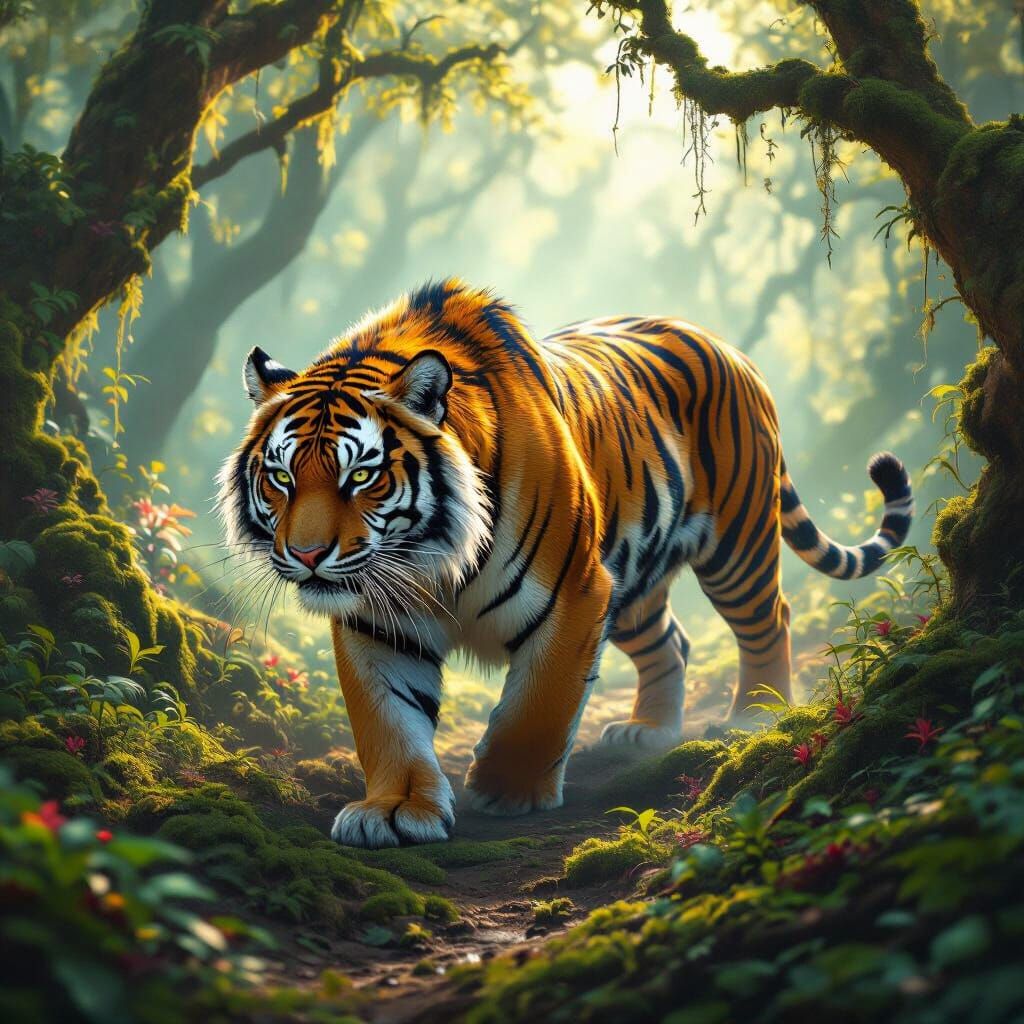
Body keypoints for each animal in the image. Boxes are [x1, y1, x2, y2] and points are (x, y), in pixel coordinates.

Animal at [218, 278, 913, 849]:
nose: (308, 556)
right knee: (672, 641)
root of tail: (727, 345)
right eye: (281, 477)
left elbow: (542, 702)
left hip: (734, 546)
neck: (429, 557)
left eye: (360, 475)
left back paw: (757, 717)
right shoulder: (376, 621)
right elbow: (387, 720)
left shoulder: (574, 592)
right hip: (632, 582)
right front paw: (393, 810)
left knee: (770, 620)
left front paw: (507, 789)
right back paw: (649, 731)